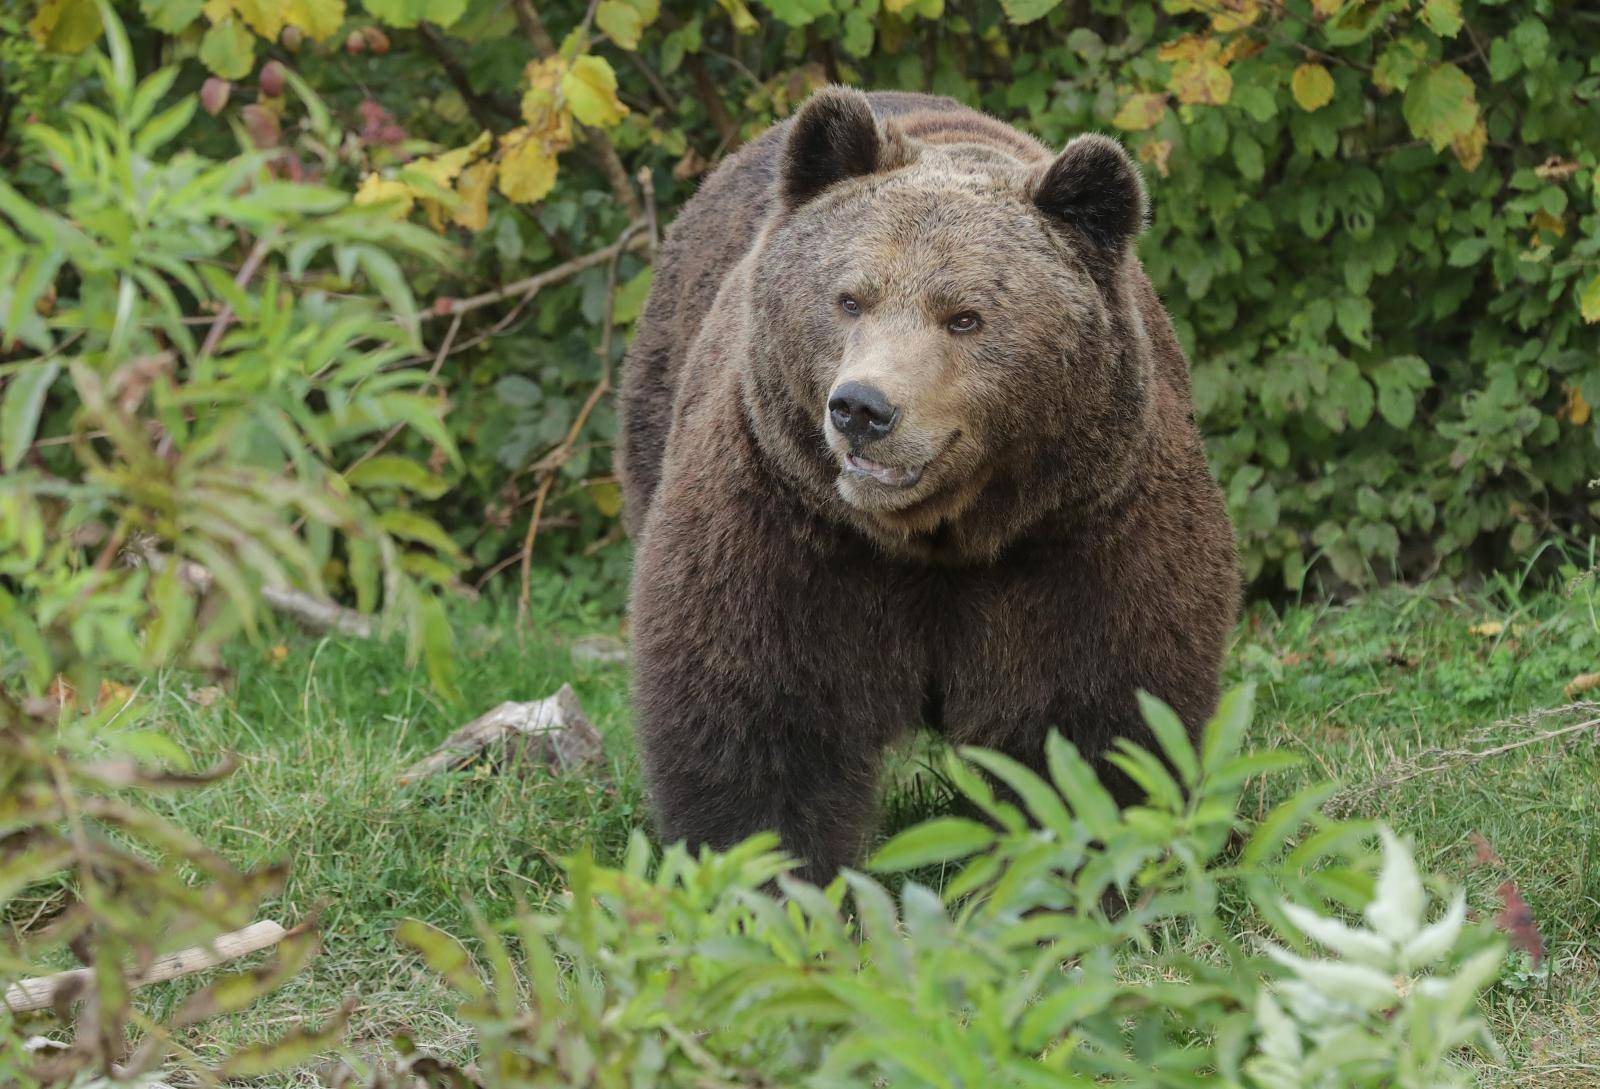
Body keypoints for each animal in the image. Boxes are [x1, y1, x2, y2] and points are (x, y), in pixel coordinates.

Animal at [611, 87, 1235, 882]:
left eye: (964, 316)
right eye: (850, 298)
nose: (861, 408)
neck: (938, 535)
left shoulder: (1084, 529)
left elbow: (1093, 718)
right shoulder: (787, 522)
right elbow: (758, 713)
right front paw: (773, 875)